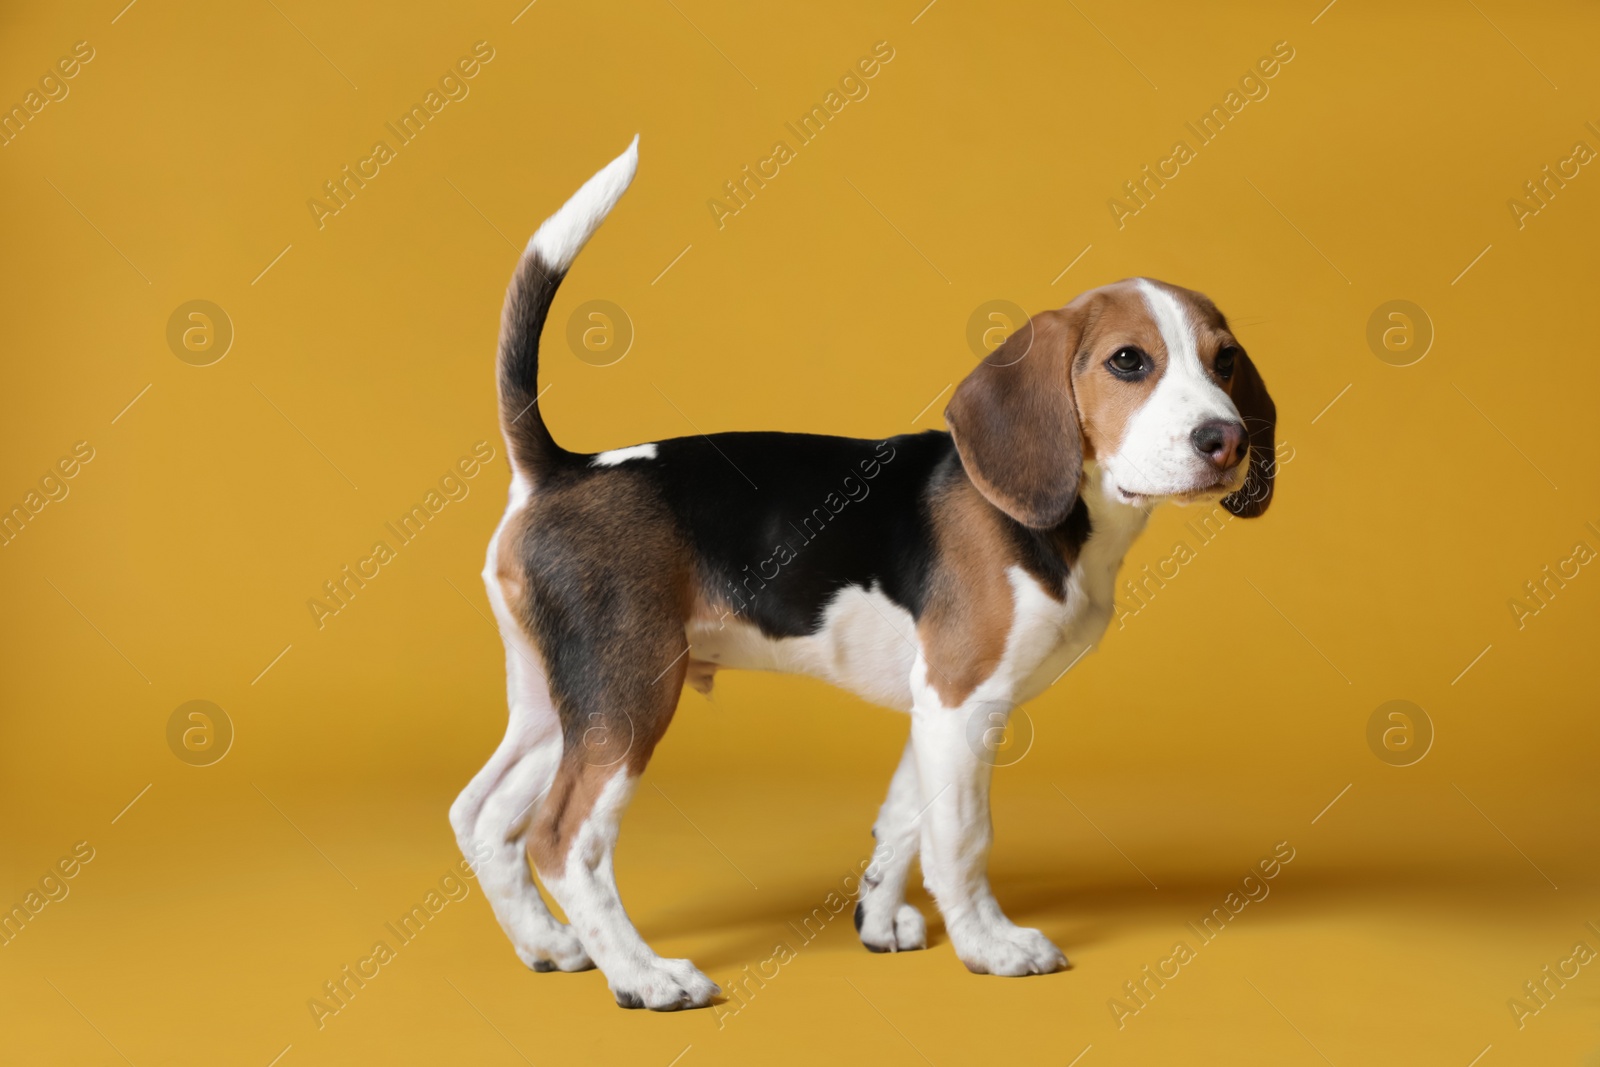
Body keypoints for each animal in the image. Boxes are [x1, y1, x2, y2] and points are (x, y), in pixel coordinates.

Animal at [448, 137, 1273, 1017]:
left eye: (1225, 360)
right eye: (1128, 361)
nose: (1225, 439)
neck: (1075, 519)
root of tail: (562, 469)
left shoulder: (936, 707)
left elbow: (906, 819)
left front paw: (879, 917)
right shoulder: (962, 694)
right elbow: (961, 839)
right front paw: (990, 945)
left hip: (560, 698)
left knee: (482, 814)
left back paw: (547, 943)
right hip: (630, 691)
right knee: (562, 838)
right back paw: (643, 975)